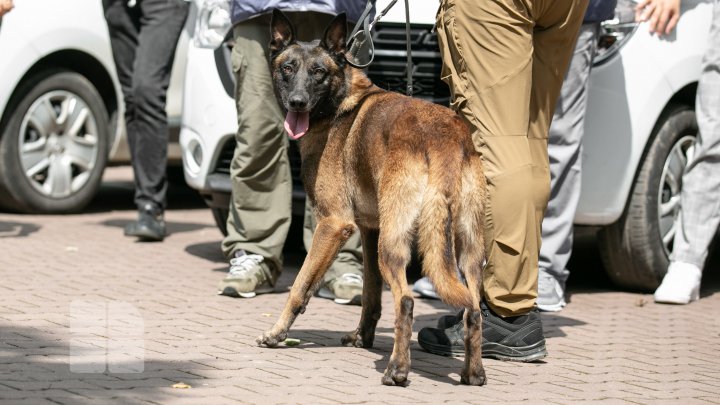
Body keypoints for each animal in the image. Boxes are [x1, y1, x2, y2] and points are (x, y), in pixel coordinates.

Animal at [256, 9, 486, 386]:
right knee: (474, 307)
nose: (297, 103)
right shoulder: (368, 230)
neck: (340, 102)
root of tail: (443, 136)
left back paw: (397, 369)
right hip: (467, 249)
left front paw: (276, 334)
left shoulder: (333, 225)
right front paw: (362, 337)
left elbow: (300, 286)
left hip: (393, 245)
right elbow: (370, 294)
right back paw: (473, 373)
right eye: (287, 68)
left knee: (406, 300)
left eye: (318, 72)